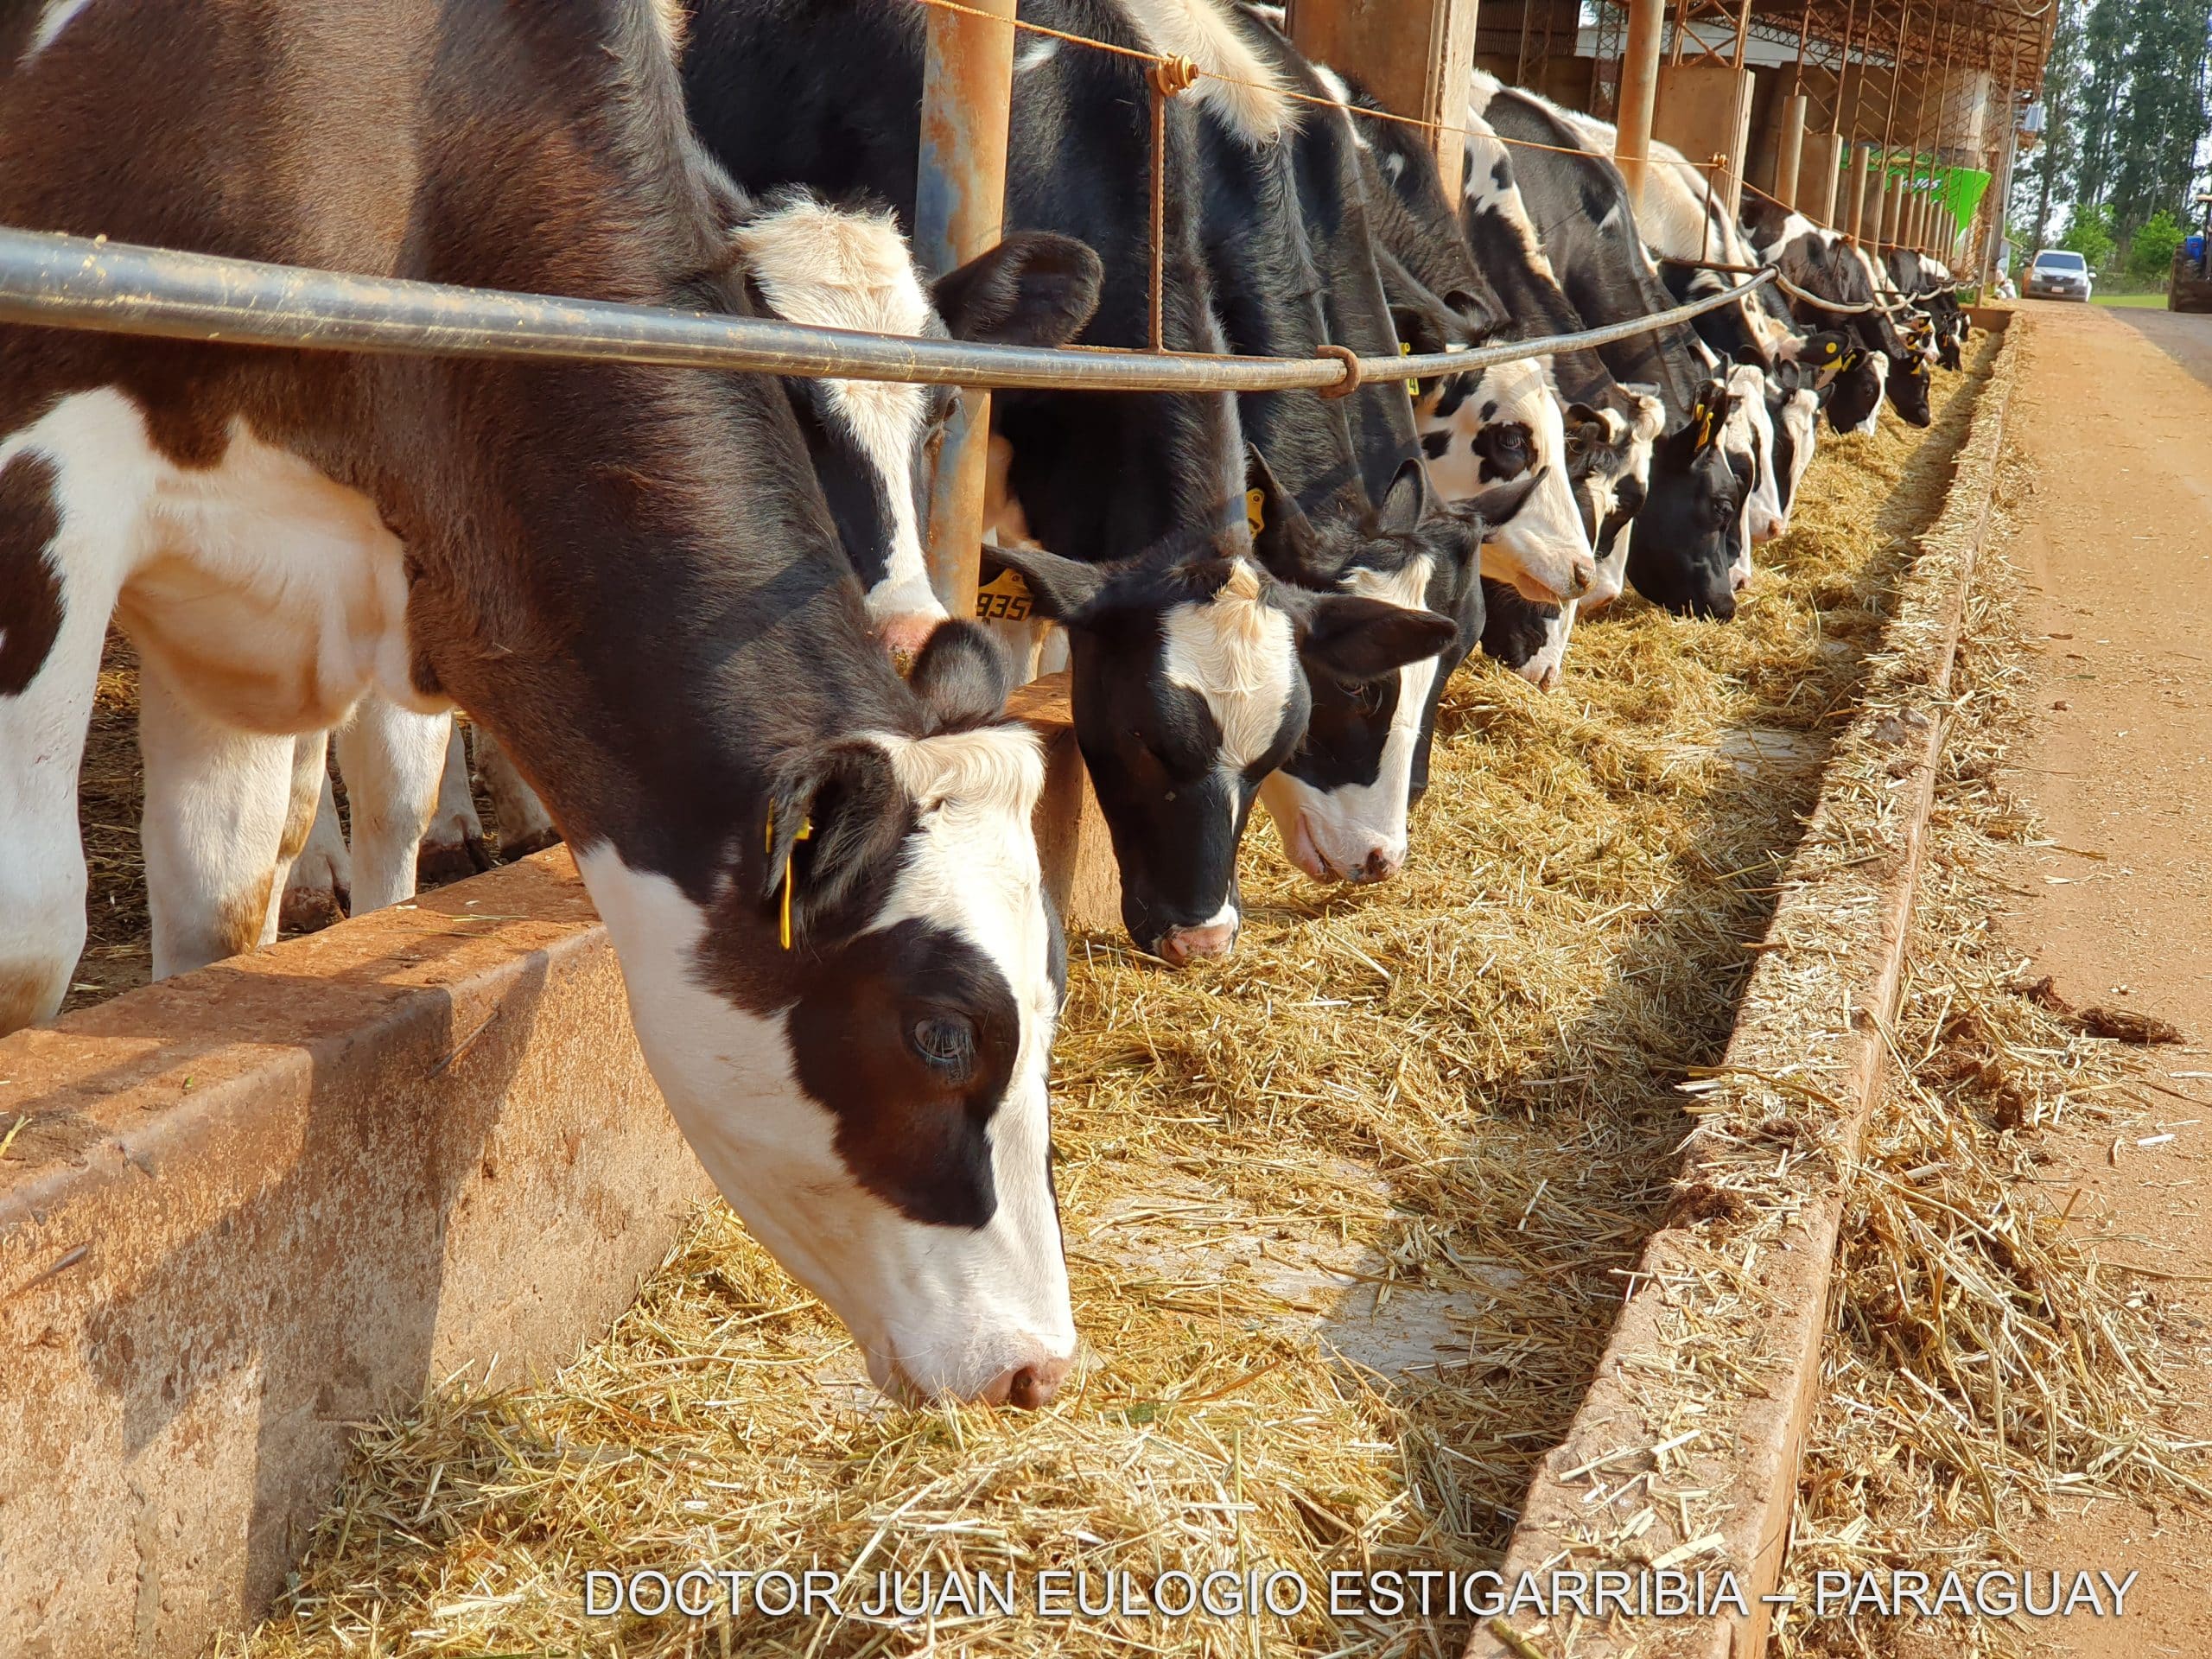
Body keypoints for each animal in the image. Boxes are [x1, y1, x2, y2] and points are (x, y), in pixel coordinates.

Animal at [0, 0, 1091, 1406]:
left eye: (946, 411)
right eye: (943, 1033)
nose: (1040, 1366)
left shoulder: (306, 575)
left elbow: (229, 893)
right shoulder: (48, 469)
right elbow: (34, 929)